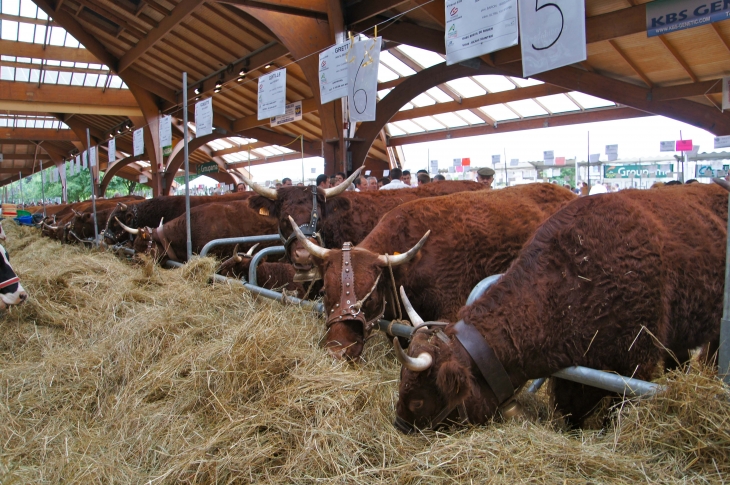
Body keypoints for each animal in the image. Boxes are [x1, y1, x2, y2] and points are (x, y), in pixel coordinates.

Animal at [392, 182, 728, 432]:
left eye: (419, 401)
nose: (399, 426)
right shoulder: (573, 374)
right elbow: (570, 412)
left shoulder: (637, 365)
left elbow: (616, 413)